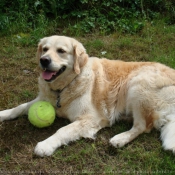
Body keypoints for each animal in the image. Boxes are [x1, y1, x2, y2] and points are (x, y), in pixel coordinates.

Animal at [0, 35, 175, 156]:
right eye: (44, 49)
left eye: (61, 51)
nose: (44, 60)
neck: (63, 88)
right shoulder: (43, 99)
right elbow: (19, 107)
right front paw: (3, 114)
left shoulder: (90, 118)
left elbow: (62, 130)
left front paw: (46, 145)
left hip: (139, 84)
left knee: (143, 126)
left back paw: (119, 139)